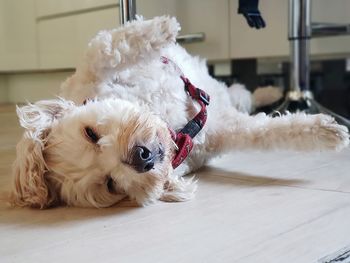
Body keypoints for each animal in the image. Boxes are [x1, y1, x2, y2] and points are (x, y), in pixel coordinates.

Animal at [10, 17, 348, 209]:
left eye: (90, 133)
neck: (174, 126)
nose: (141, 157)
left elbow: (103, 49)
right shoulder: (221, 132)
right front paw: (327, 133)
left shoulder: (91, 75)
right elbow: (266, 132)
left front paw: (162, 27)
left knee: (238, 92)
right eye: (110, 184)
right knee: (238, 98)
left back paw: (269, 91)